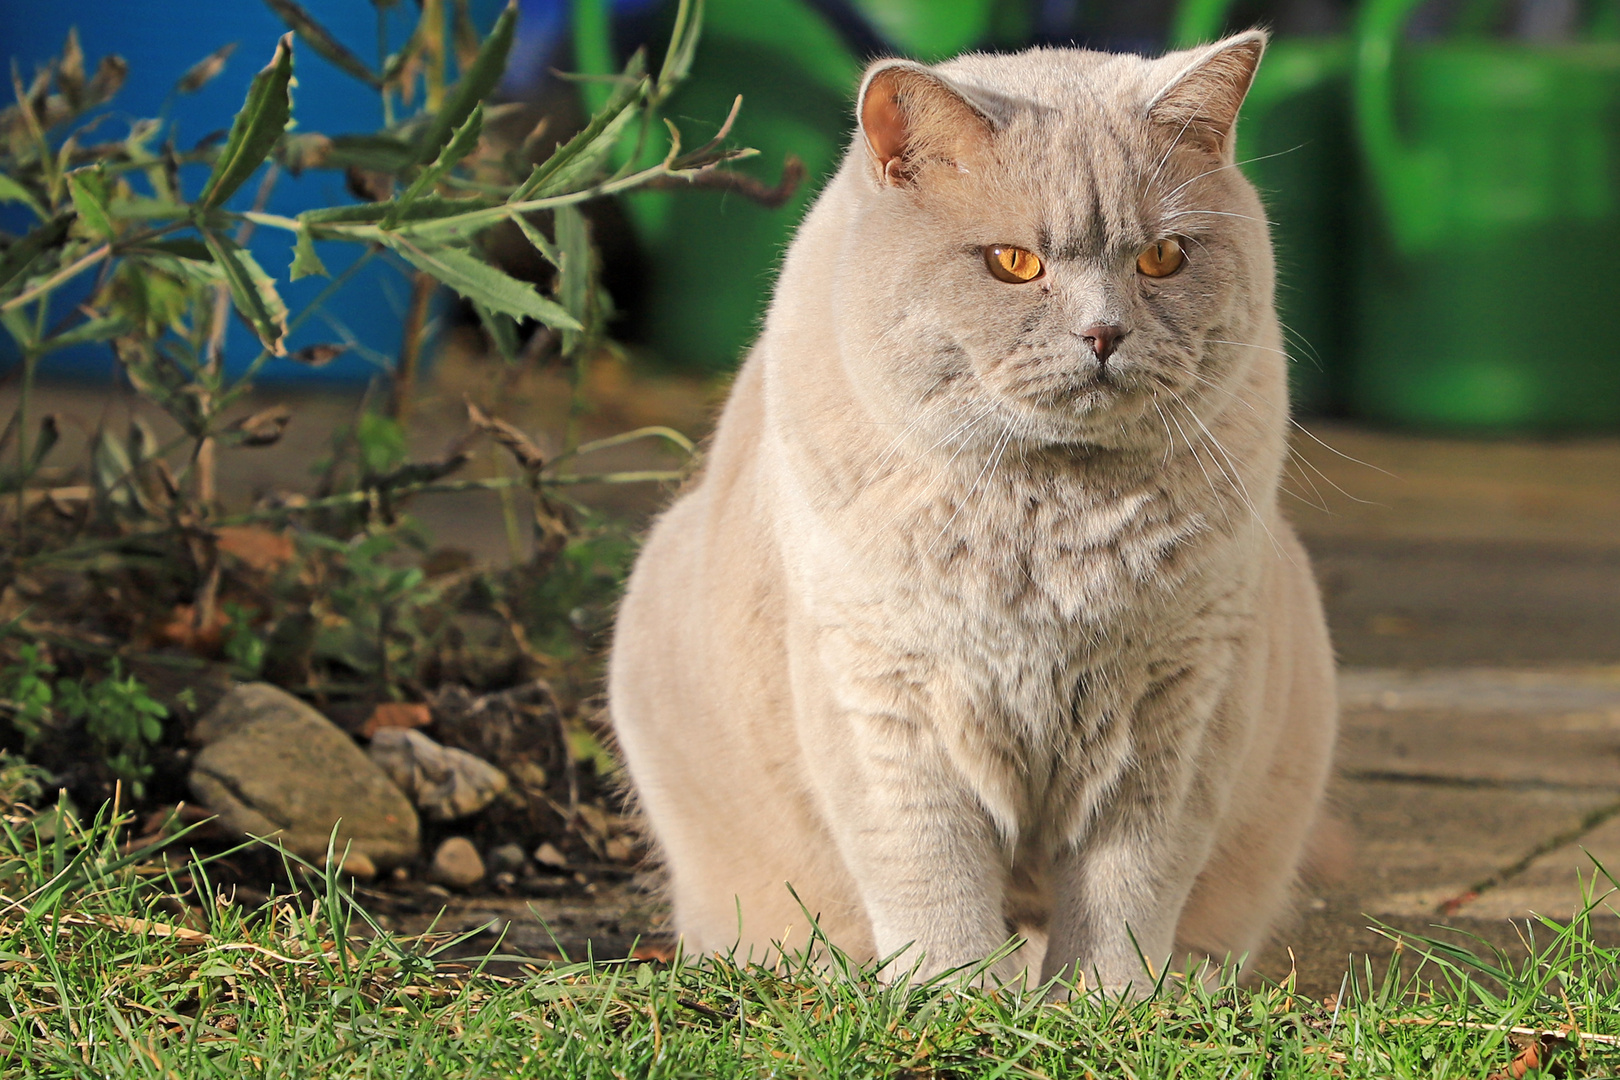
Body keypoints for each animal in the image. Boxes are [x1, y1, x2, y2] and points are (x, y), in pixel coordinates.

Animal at [609, 31, 1341, 997]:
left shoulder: (1177, 701)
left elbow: (1129, 883)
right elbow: (930, 873)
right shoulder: (884, 695)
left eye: (1162, 258)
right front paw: (951, 1001)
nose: (1104, 334)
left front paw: (1106, 1008)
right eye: (1014, 264)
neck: (1051, 514)